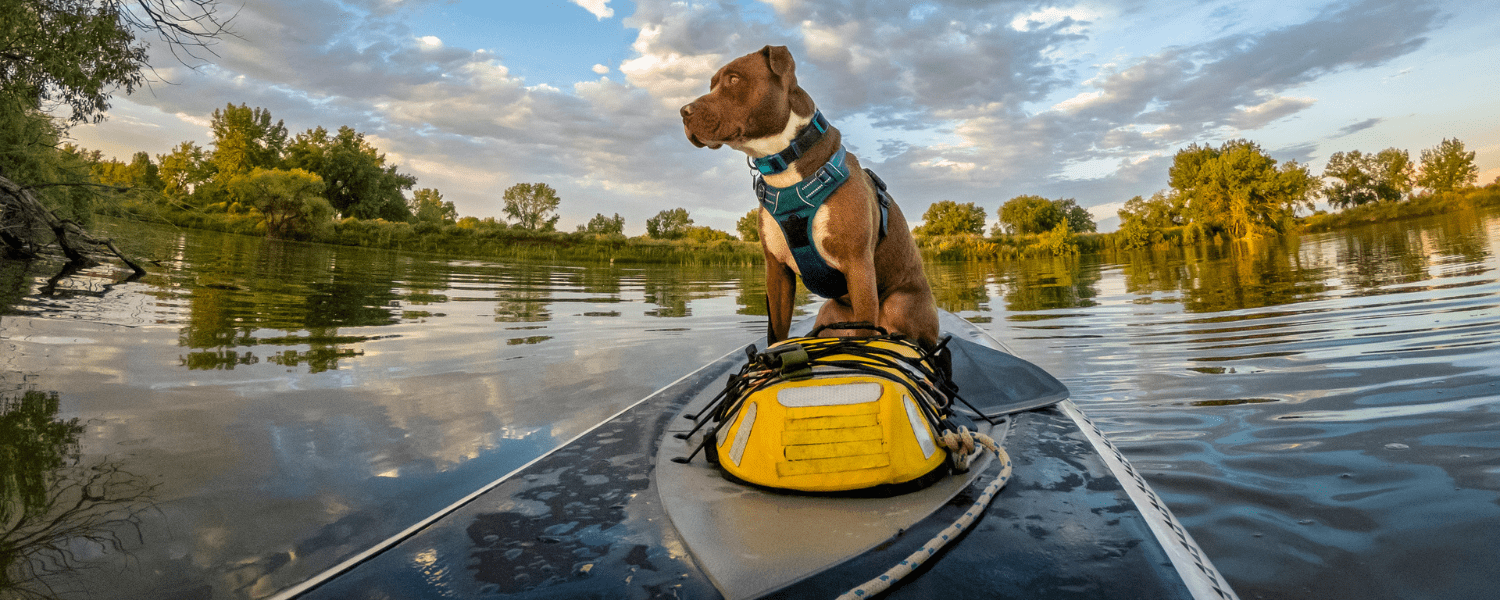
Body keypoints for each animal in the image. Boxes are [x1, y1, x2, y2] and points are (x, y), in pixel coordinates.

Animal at [684, 44, 936, 349]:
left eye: (734, 79)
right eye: (711, 84)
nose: (683, 111)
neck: (786, 166)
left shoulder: (859, 267)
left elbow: (863, 331)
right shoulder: (776, 272)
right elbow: (776, 332)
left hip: (900, 304)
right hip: (829, 313)